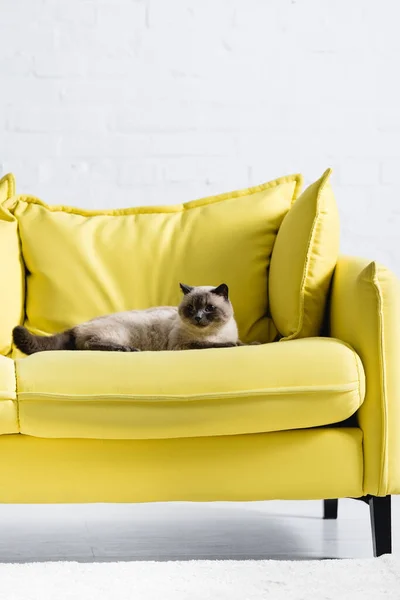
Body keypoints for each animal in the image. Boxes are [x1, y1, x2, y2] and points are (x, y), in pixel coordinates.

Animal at [13, 284, 250, 354]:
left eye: (209, 308)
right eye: (191, 309)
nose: (199, 317)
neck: (214, 333)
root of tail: (77, 326)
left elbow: (242, 342)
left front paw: (248, 343)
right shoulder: (183, 345)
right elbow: (216, 345)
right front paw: (231, 345)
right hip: (118, 333)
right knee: (87, 345)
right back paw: (127, 350)